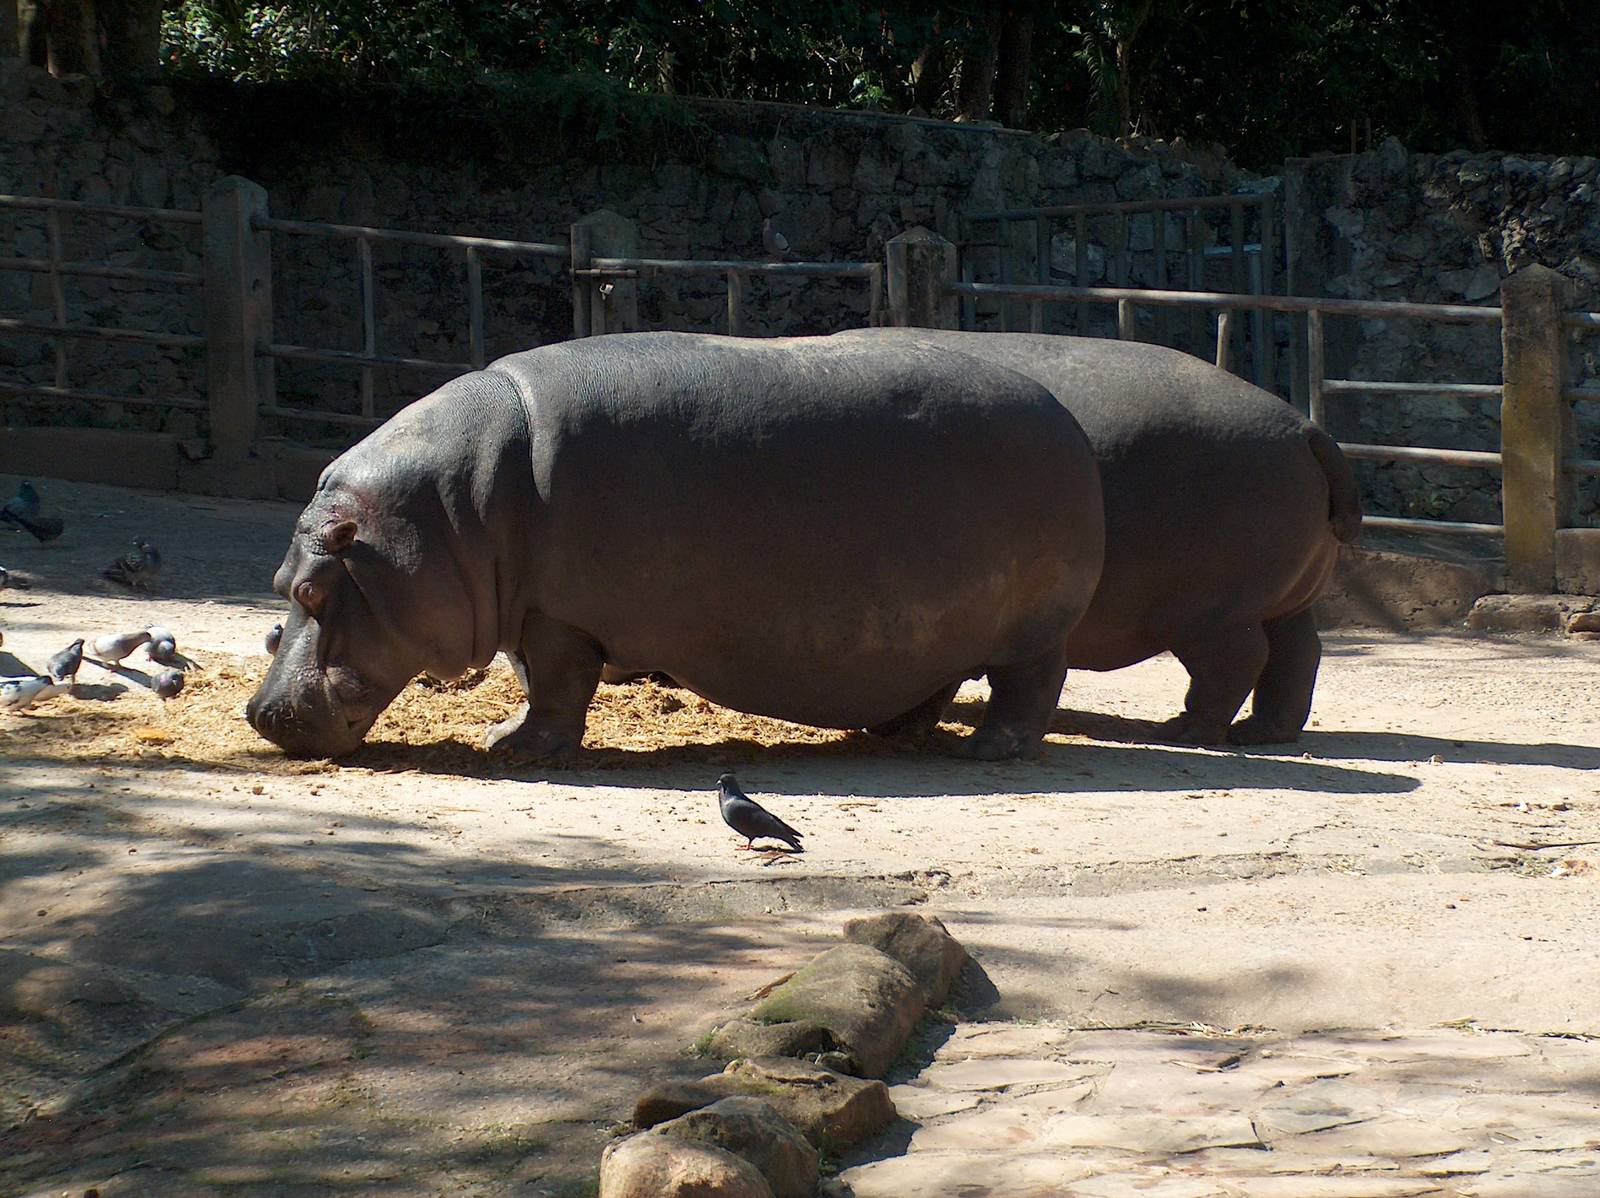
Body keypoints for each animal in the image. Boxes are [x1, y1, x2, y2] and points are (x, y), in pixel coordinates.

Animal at [246, 332, 1105, 761]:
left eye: (315, 592)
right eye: (279, 585)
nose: (257, 713)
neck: (444, 518)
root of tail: (1069, 422)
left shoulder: (558, 616)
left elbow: (556, 686)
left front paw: (513, 748)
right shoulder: (527, 607)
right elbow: (536, 681)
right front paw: (503, 735)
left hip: (1033, 630)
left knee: (1027, 688)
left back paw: (988, 751)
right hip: (940, 631)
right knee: (934, 683)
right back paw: (892, 734)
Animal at [835, 329, 1362, 745]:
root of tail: (1306, 428)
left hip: (1213, 611)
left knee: (1237, 660)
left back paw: (1180, 732)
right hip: (1283, 595)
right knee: (1298, 652)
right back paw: (1260, 733)